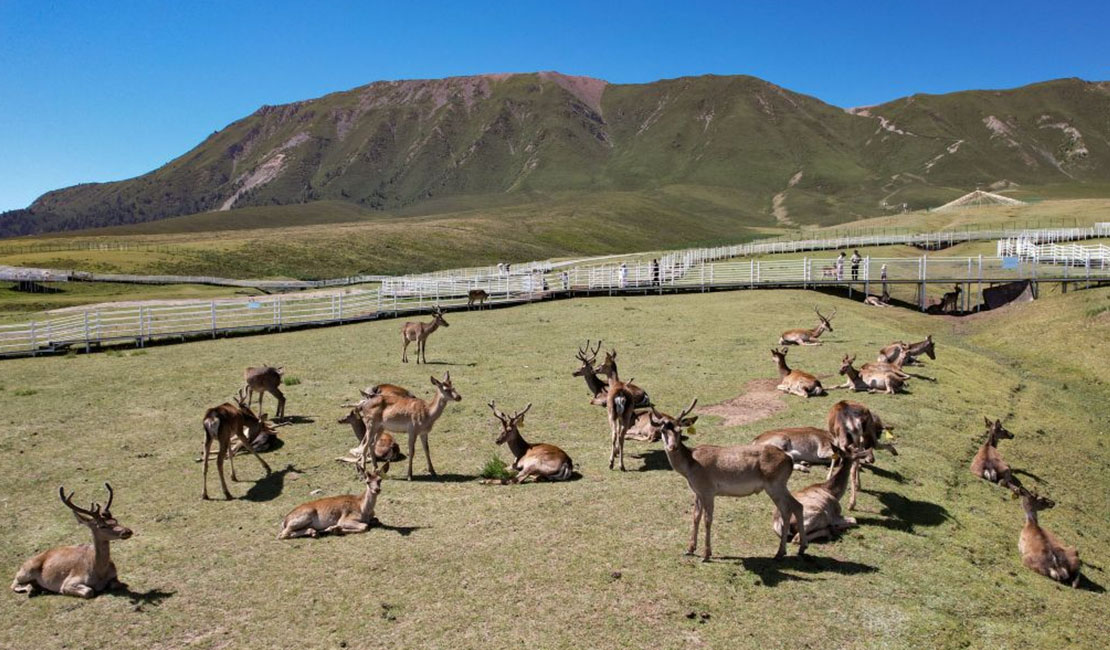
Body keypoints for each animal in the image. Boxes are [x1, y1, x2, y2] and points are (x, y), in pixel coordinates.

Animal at [651, 399, 807, 561]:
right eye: (663, 430)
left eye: (680, 431)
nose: (672, 447)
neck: (689, 467)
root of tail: (789, 458)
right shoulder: (697, 491)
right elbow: (695, 517)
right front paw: (690, 549)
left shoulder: (708, 490)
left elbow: (707, 519)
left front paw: (706, 554)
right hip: (780, 485)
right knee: (797, 505)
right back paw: (800, 548)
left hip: (775, 484)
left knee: (786, 510)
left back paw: (781, 552)